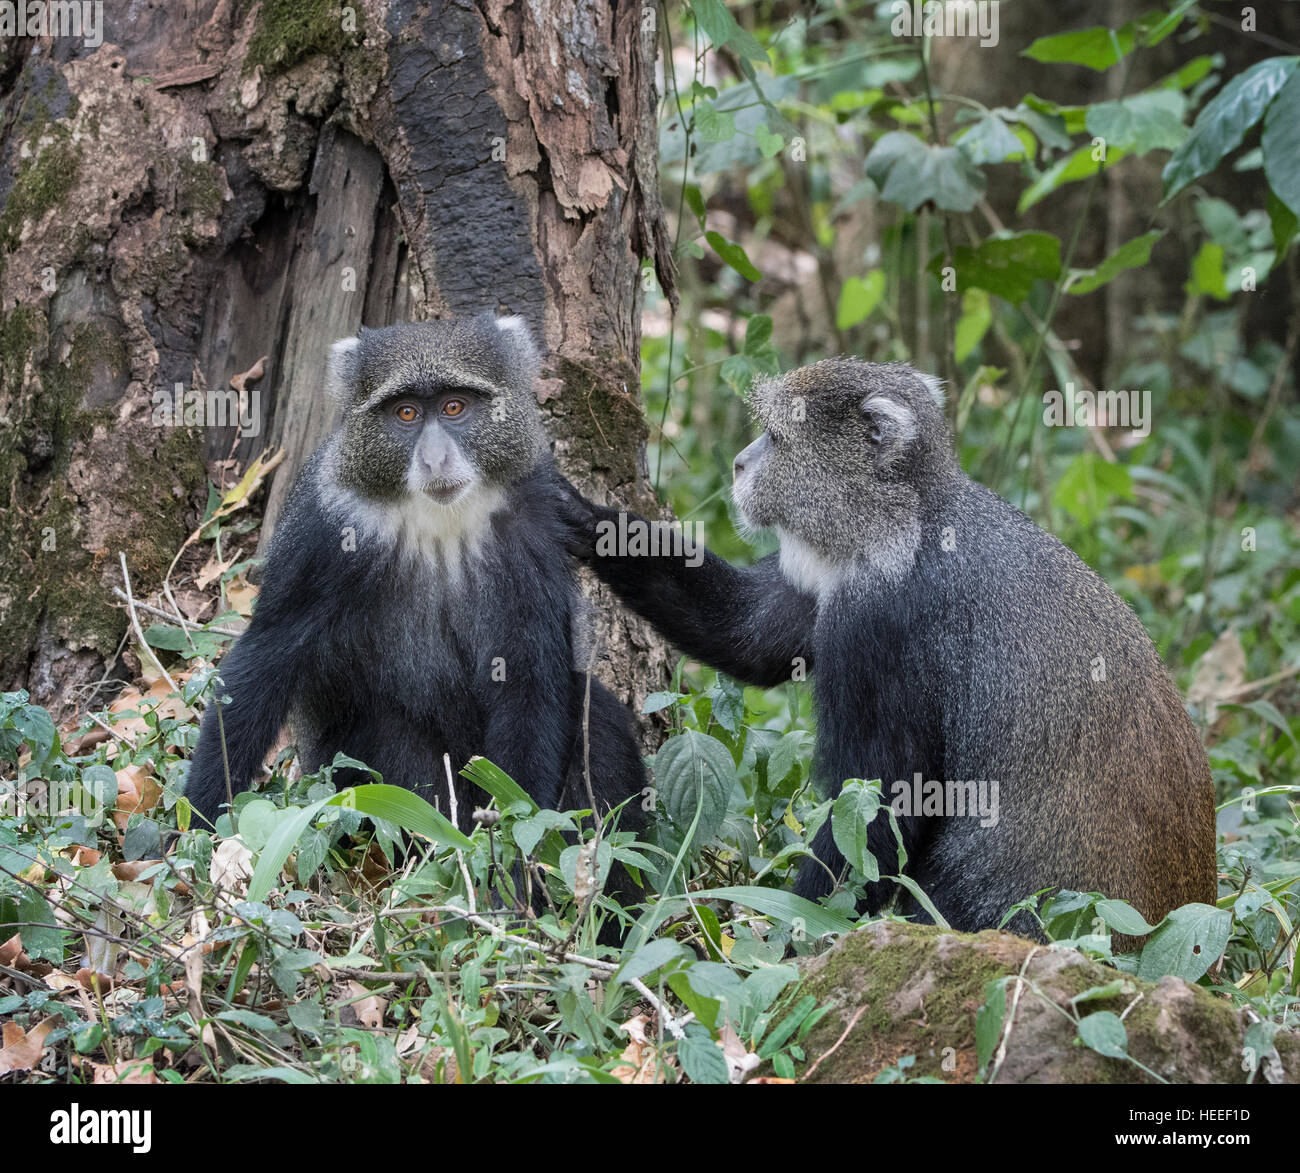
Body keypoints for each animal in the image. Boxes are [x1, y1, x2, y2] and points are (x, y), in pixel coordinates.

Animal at [187, 317, 644, 858]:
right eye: (405, 413)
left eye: (454, 407)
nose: (434, 459)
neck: (440, 518)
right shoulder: (324, 527)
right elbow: (264, 659)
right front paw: (191, 831)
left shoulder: (535, 515)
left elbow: (529, 679)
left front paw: (518, 855)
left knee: (601, 717)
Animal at [553, 361, 1211, 941]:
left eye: (776, 437)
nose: (740, 462)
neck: (907, 518)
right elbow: (748, 632)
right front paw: (581, 517)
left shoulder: (879, 624)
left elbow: (882, 807)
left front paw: (786, 939)